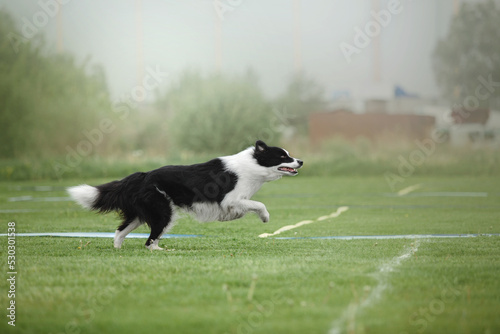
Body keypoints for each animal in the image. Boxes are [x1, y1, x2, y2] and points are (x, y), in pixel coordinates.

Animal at [68, 140, 302, 249]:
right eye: (283, 156)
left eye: (289, 155)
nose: (300, 161)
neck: (253, 165)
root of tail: (142, 176)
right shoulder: (231, 198)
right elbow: (259, 204)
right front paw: (265, 218)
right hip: (164, 212)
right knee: (149, 242)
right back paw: (162, 251)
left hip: (141, 214)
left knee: (120, 232)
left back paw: (118, 249)